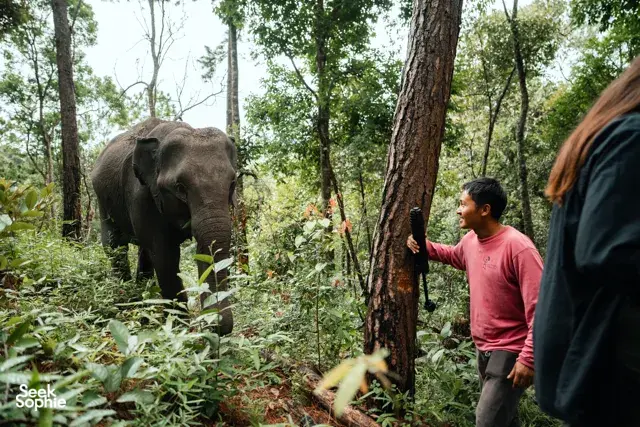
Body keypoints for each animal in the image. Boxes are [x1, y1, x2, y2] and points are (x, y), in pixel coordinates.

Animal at [91, 117, 237, 335]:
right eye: (180, 187)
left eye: (233, 183)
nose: (217, 325)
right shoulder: (141, 195)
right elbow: (165, 257)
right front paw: (180, 330)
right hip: (102, 200)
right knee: (114, 246)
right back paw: (127, 304)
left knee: (144, 253)